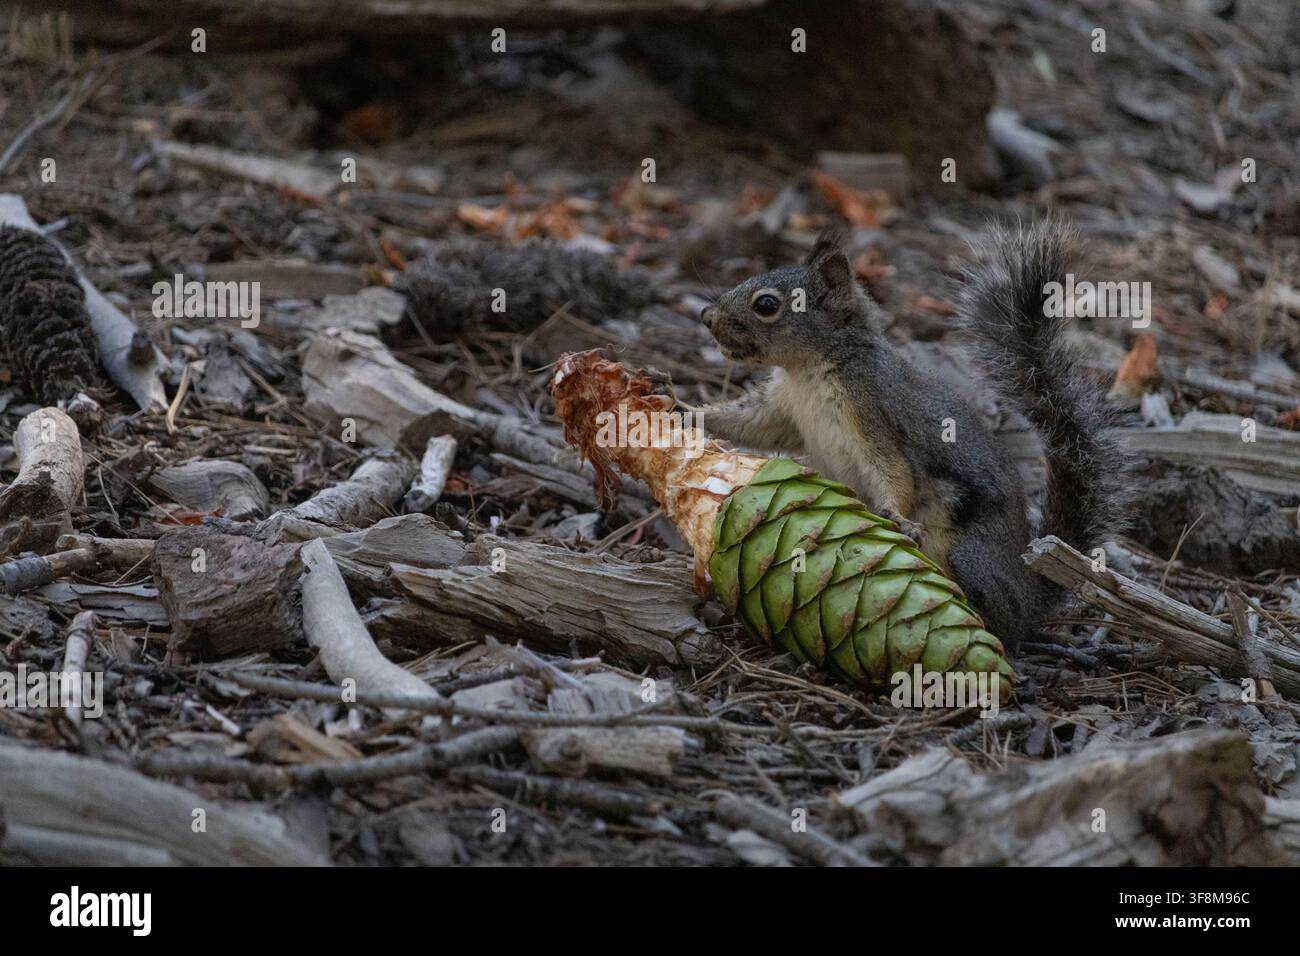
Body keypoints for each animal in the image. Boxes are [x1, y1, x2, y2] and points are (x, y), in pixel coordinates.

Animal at [694, 221, 1133, 652]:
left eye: (766, 305)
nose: (706, 317)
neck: (809, 373)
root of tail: (1030, 596)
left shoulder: (875, 414)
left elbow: (895, 472)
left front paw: (895, 516)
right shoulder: (783, 410)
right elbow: (751, 424)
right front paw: (687, 411)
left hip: (968, 559)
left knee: (1001, 627)